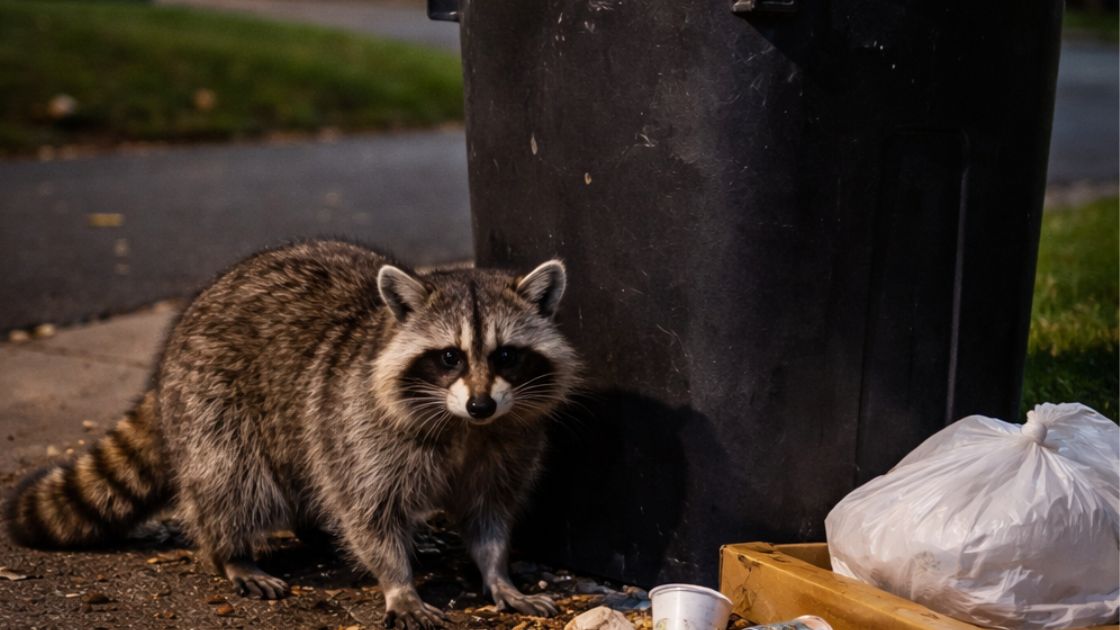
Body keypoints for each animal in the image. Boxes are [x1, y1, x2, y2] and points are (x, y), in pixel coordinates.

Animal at [5, 240, 580, 628]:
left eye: (506, 355)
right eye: (449, 358)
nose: (482, 404)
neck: (464, 428)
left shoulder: (508, 442)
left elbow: (489, 515)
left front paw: (497, 572)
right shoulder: (362, 426)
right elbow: (369, 513)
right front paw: (399, 582)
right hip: (212, 400)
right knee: (231, 481)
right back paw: (229, 551)